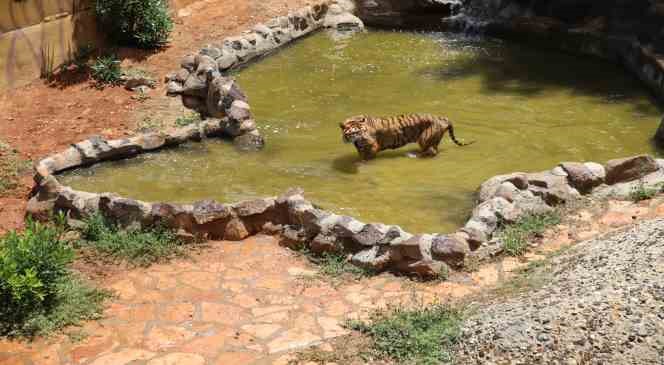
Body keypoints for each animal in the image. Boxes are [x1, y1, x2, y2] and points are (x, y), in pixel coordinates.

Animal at [340, 113, 474, 160]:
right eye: (353, 133)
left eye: (359, 131)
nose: (362, 137)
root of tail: (442, 117)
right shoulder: (361, 148)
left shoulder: (372, 147)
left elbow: (366, 159)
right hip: (431, 140)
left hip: (424, 139)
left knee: (431, 151)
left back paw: (414, 156)